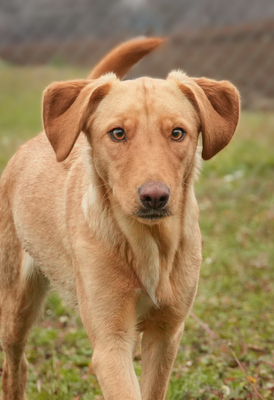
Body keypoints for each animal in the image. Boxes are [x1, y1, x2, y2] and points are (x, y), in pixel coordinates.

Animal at [0, 37, 240, 400]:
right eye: (117, 133)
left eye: (177, 133)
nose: (154, 196)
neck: (147, 243)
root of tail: (43, 137)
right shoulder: (111, 342)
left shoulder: (165, 334)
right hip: (15, 304)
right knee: (15, 363)